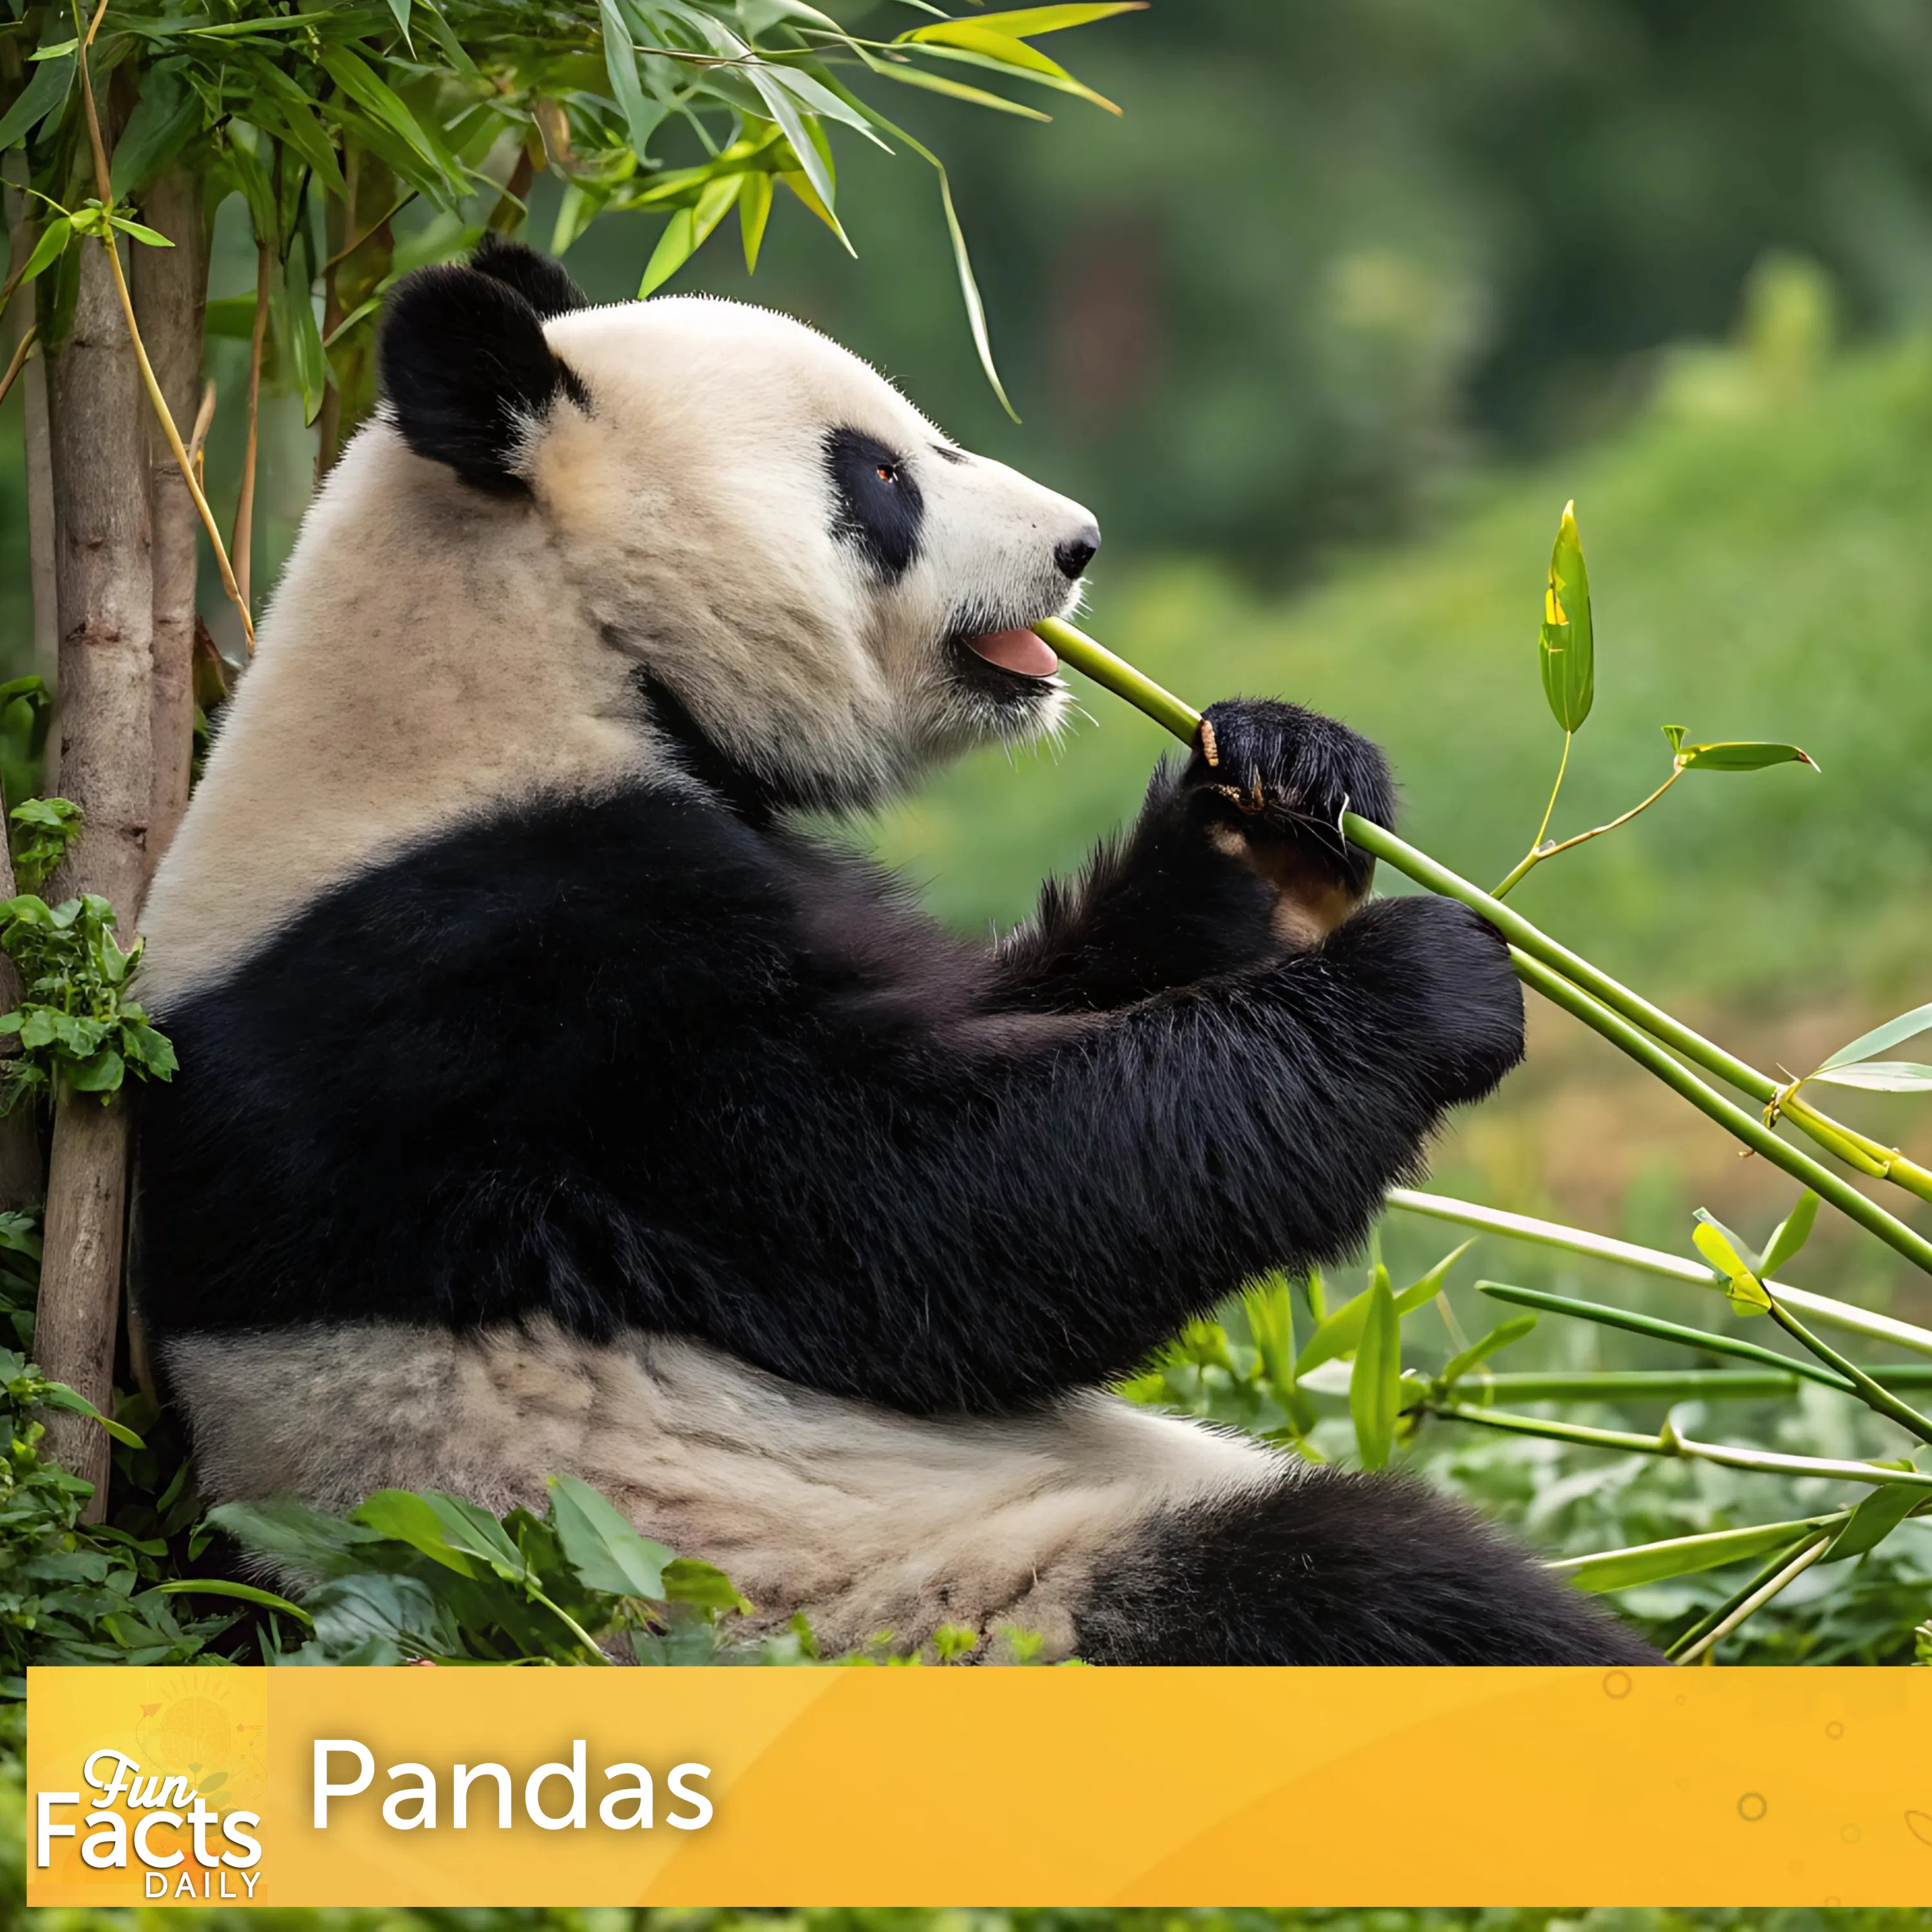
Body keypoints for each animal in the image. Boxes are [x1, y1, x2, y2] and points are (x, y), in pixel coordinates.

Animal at [133, 236, 1653, 1667]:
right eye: (877, 476)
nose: (1079, 544)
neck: (523, 650)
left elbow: (1020, 1009)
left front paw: (1277, 790)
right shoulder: (524, 991)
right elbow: (947, 1214)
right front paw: (1426, 979)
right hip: (905, 1601)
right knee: (1358, 1592)